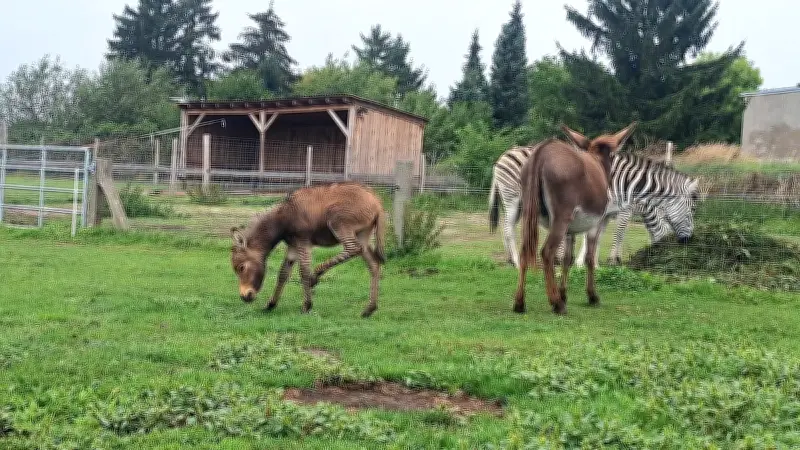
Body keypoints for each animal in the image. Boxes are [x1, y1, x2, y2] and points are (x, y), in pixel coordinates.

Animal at [488, 143, 703, 269]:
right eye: (692, 210)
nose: (687, 241)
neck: (628, 183)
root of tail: (502, 156)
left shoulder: (606, 212)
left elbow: (596, 238)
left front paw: (592, 264)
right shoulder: (620, 210)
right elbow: (616, 233)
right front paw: (607, 260)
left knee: (508, 226)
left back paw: (511, 258)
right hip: (513, 197)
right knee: (508, 228)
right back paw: (517, 262)